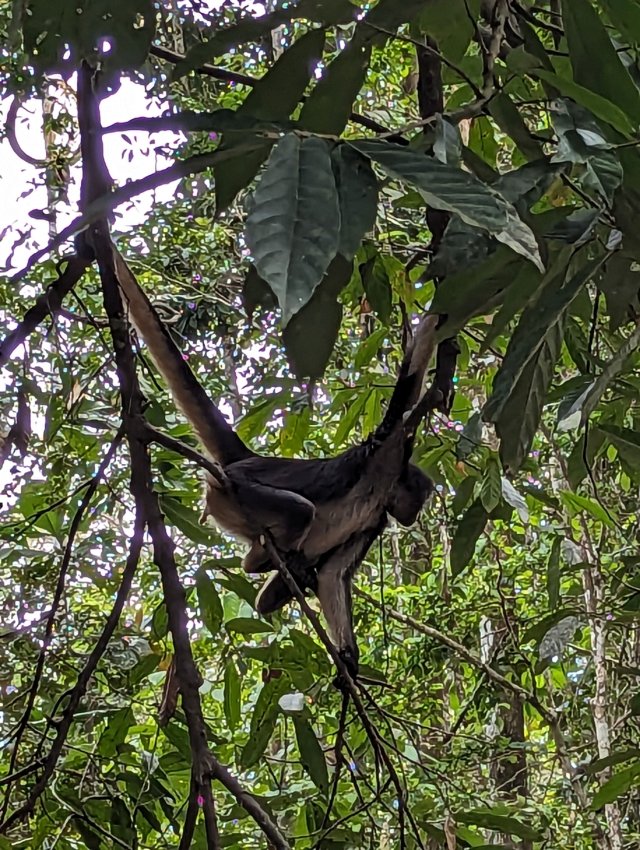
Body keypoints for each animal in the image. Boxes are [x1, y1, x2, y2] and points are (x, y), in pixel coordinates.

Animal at [110, 245, 437, 676]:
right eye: (421, 499)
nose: (414, 516)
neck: (380, 489)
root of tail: (248, 459)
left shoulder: (376, 520)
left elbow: (332, 576)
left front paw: (349, 663)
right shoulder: (388, 448)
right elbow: (410, 381)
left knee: (282, 588)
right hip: (233, 491)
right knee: (299, 511)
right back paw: (262, 561)